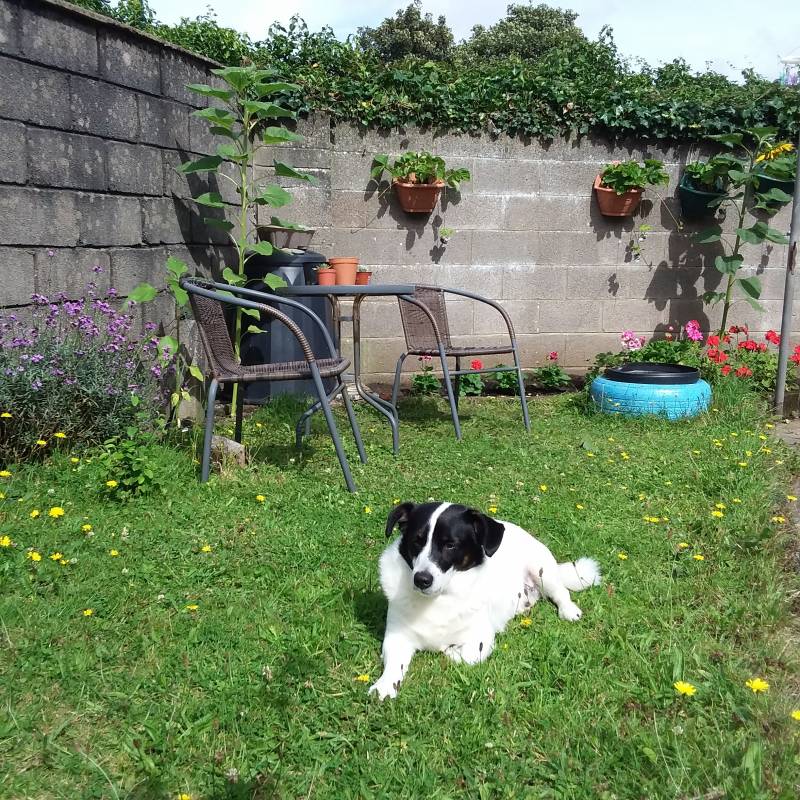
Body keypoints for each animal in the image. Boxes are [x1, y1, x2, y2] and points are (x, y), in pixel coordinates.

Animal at [369, 501, 601, 700]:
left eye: (450, 545)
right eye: (416, 541)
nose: (421, 580)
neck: (440, 598)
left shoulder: (480, 640)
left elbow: (461, 655)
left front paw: (448, 650)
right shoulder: (396, 637)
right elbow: (394, 664)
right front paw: (385, 685)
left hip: (542, 569)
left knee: (561, 591)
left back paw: (568, 610)